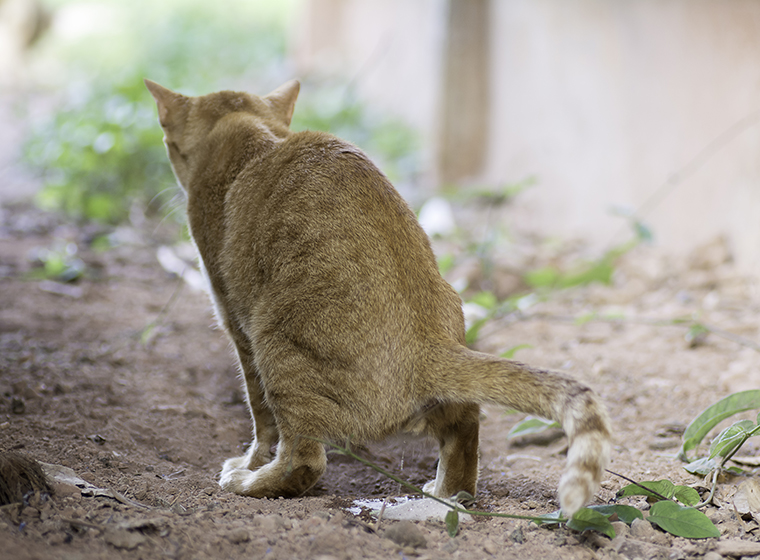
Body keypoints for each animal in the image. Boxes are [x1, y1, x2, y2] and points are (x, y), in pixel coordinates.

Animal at [145, 79, 616, 516]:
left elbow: (261, 420)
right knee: (465, 428)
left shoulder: (235, 323)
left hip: (275, 344)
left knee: (304, 460)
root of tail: (428, 344)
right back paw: (446, 492)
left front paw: (249, 463)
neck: (247, 131)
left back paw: (250, 483)